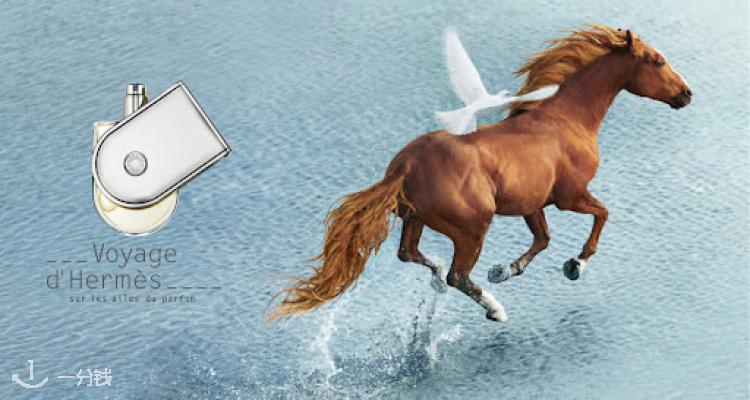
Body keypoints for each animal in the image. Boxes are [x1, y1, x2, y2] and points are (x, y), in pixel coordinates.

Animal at [268, 25, 692, 322]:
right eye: (656, 61)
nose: (686, 94)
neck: (567, 120)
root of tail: (406, 165)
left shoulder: (533, 204)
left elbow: (543, 239)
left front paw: (505, 270)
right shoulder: (570, 197)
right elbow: (601, 215)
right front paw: (576, 265)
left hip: (415, 219)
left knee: (411, 254)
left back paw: (441, 276)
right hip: (471, 228)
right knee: (457, 275)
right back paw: (495, 309)